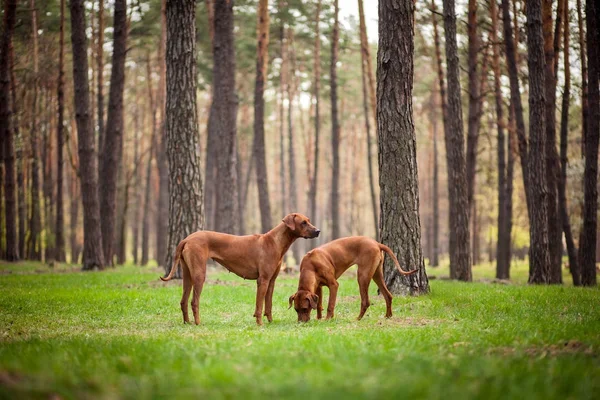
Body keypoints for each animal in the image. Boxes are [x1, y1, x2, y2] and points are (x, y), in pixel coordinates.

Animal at [159, 212, 318, 324]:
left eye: (309, 220)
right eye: (303, 222)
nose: (318, 231)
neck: (275, 241)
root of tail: (187, 239)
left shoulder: (271, 281)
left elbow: (268, 304)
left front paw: (271, 322)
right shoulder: (263, 280)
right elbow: (259, 305)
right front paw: (260, 323)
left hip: (187, 275)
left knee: (183, 301)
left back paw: (187, 322)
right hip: (199, 274)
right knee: (194, 301)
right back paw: (198, 323)